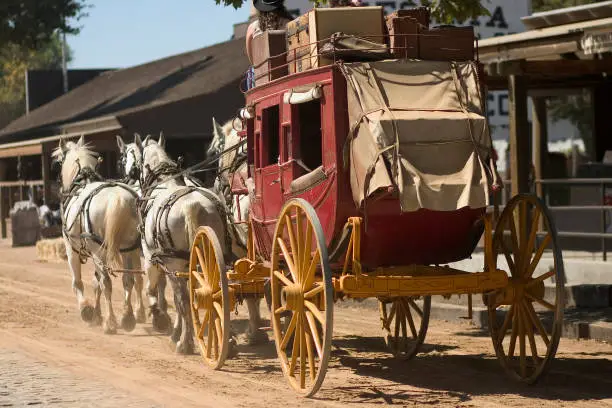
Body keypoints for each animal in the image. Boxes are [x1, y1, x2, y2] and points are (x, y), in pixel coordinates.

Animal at [53, 137, 145, 334]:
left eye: (59, 162)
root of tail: (118, 198)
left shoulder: (71, 249)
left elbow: (78, 282)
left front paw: (87, 310)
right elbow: (96, 284)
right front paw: (97, 313)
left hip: (98, 252)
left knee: (107, 282)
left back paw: (110, 322)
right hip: (129, 248)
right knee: (129, 280)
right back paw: (128, 317)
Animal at [136, 134, 227, 354]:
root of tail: (192, 206)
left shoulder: (152, 258)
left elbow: (155, 291)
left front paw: (162, 320)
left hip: (174, 263)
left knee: (185, 300)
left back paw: (184, 343)